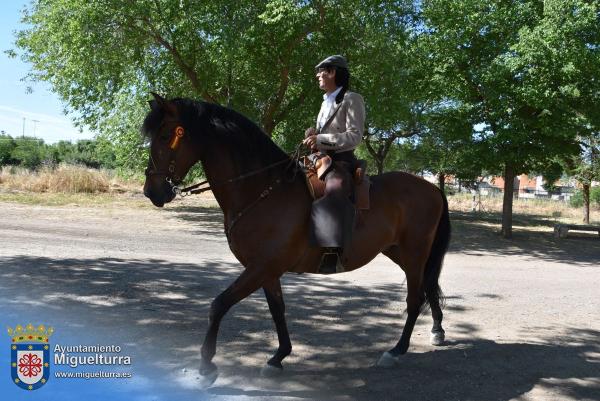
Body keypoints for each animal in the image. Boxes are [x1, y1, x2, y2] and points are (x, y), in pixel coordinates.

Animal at [142, 93, 450, 384]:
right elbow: (277, 309)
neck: (264, 190)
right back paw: (437, 330)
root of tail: (431, 188)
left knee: (415, 298)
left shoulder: (261, 267)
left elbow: (218, 305)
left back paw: (396, 350)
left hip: (414, 253)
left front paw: (206, 366)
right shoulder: (266, 270)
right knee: (427, 287)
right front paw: (278, 356)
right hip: (399, 252)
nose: (151, 191)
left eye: (165, 135)